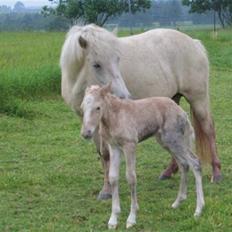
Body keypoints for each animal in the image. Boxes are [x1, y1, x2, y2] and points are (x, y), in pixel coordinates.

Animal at [60, 24, 222, 200]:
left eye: (117, 60)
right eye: (96, 64)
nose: (123, 96)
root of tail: (194, 43)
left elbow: (107, 154)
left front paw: (107, 190)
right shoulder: (90, 122)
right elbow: (102, 154)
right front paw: (106, 189)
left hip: (198, 99)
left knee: (208, 129)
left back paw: (216, 173)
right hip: (172, 102)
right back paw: (169, 171)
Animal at [80, 84, 204, 228]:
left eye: (98, 107)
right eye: (82, 107)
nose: (86, 133)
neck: (114, 117)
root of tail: (182, 112)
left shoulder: (130, 145)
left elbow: (131, 177)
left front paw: (131, 218)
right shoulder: (114, 147)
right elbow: (113, 178)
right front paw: (113, 219)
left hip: (174, 139)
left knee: (195, 162)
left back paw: (198, 210)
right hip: (166, 142)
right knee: (184, 164)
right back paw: (178, 202)